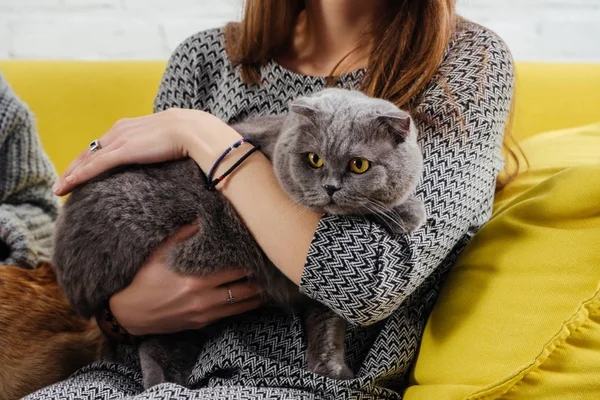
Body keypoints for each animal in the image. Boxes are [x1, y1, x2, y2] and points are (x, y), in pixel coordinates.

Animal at [52, 87, 426, 388]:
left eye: (359, 165)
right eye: (314, 159)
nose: (331, 188)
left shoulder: (318, 290)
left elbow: (328, 324)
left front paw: (330, 369)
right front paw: (410, 211)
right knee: (153, 342)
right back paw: (161, 385)